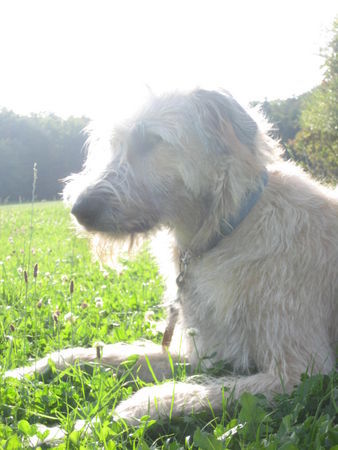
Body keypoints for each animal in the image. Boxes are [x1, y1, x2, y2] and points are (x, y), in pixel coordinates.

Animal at [3, 89, 336, 442]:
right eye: (113, 143)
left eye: (151, 140)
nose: (80, 208)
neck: (228, 229)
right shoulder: (199, 353)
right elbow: (92, 353)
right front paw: (25, 371)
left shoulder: (300, 372)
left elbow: (157, 397)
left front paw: (75, 431)